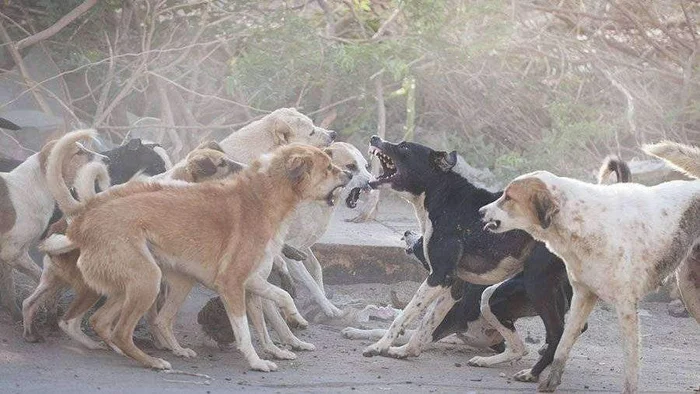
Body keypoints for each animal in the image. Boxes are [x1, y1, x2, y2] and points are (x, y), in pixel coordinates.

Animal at [0, 131, 106, 318]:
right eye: (78, 152)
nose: (107, 159)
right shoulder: (12, 252)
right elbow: (39, 278)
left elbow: (9, 286)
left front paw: (15, 313)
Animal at [358, 137, 628, 384]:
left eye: (404, 146)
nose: (375, 138)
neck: (443, 195)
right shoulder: (452, 285)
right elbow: (426, 325)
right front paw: (406, 351)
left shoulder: (439, 277)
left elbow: (404, 316)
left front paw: (379, 346)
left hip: (528, 286)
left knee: (555, 332)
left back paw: (531, 373)